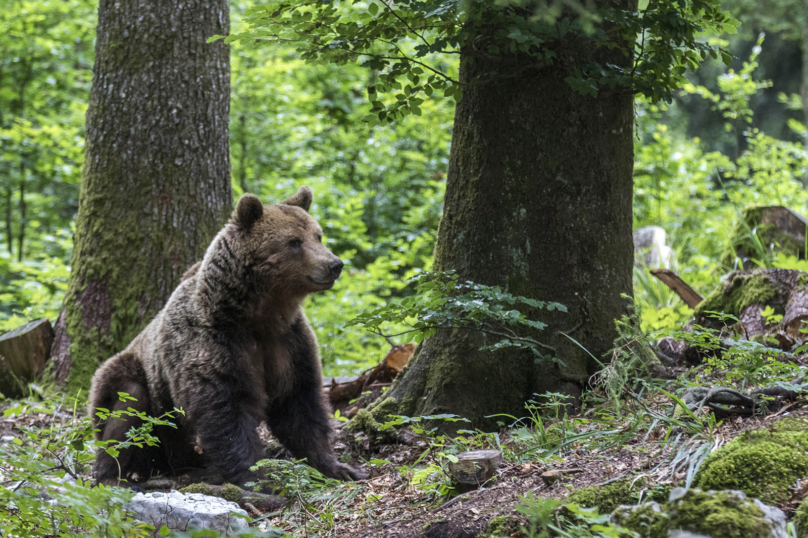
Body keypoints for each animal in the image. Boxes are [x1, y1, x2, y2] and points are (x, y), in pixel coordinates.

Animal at [89, 187, 366, 486]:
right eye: (294, 241)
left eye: (318, 235)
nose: (334, 264)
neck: (259, 314)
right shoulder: (214, 341)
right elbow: (226, 408)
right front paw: (255, 476)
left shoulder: (288, 342)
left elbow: (298, 402)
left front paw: (338, 467)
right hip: (128, 382)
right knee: (128, 405)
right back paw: (112, 475)